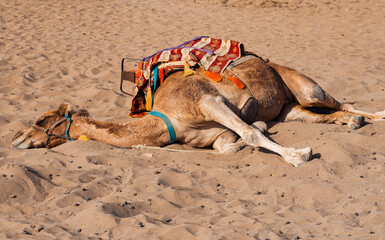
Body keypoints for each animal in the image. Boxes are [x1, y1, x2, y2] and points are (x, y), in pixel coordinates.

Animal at [10, 55, 382, 167]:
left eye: (40, 120)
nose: (14, 138)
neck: (165, 120)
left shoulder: (207, 101)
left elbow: (249, 133)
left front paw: (298, 155)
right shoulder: (214, 137)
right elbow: (235, 142)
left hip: (300, 84)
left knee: (333, 99)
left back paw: (374, 116)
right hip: (290, 107)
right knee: (324, 113)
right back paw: (355, 122)